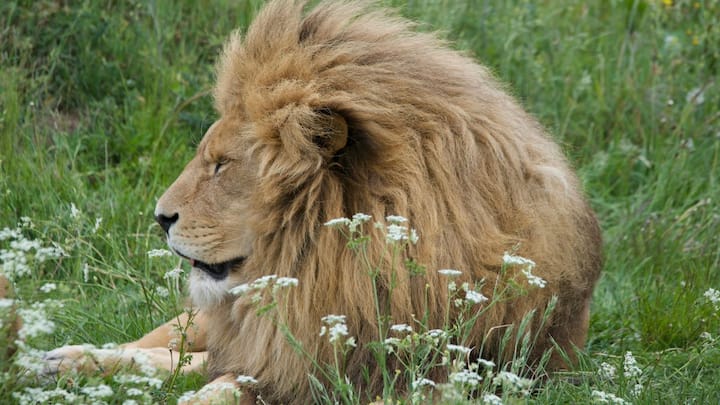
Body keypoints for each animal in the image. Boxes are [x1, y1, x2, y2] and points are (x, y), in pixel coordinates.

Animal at [41, 0, 602, 403]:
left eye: (223, 165)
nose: (160, 218)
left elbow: (223, 384)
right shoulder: (282, 346)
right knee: (162, 343)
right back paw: (61, 360)